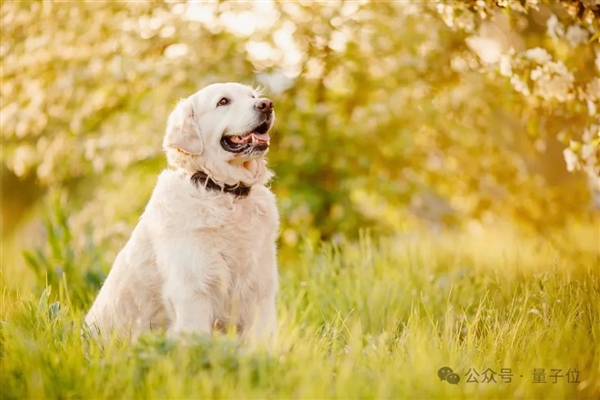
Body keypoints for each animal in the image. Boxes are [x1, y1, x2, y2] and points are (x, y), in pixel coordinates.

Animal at [84, 82, 278, 344]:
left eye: (252, 96)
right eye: (223, 101)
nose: (266, 105)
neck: (224, 193)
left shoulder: (259, 291)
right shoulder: (193, 291)